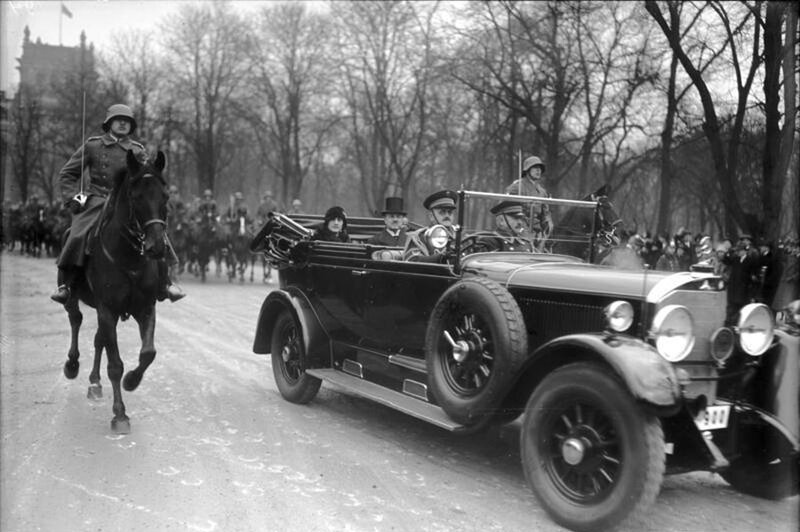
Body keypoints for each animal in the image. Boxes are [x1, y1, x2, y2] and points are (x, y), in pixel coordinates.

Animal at [62, 149, 169, 432]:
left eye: (165, 196)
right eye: (136, 196)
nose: (156, 247)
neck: (129, 259)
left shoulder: (145, 308)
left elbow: (148, 353)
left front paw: (132, 380)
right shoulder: (107, 309)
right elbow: (115, 365)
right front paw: (120, 414)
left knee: (99, 338)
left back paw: (95, 382)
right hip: (75, 298)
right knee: (76, 319)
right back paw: (72, 364)